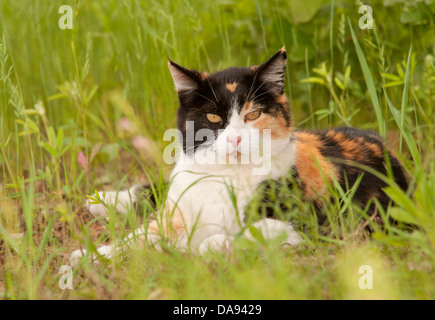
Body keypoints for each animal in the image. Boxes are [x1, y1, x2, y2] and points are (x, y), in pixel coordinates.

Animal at [69, 47, 408, 264]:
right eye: (213, 117)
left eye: (253, 114)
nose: (234, 138)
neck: (225, 176)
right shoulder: (178, 211)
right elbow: (141, 235)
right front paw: (90, 255)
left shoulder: (312, 223)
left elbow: (251, 231)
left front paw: (207, 245)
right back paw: (101, 199)